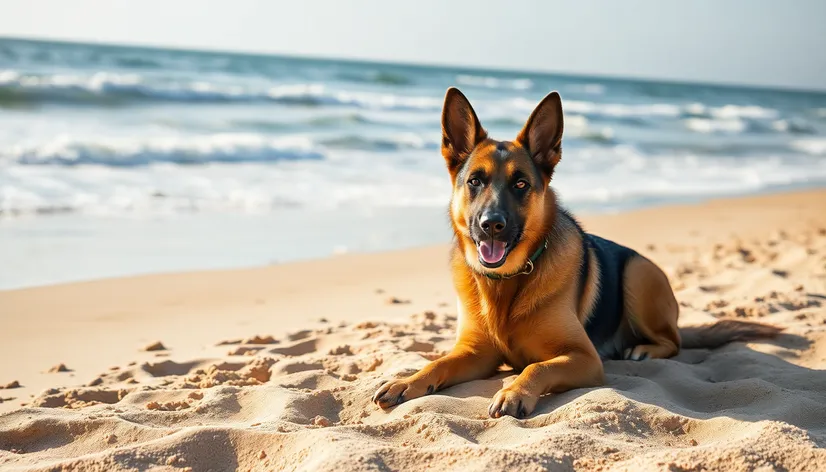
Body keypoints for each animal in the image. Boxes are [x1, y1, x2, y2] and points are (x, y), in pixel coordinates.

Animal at [372, 86, 780, 418]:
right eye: (475, 181)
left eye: (521, 184)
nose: (492, 225)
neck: (509, 282)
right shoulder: (476, 353)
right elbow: (437, 364)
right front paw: (407, 380)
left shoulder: (584, 357)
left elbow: (537, 366)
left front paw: (515, 392)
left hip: (638, 275)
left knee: (675, 342)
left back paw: (645, 349)